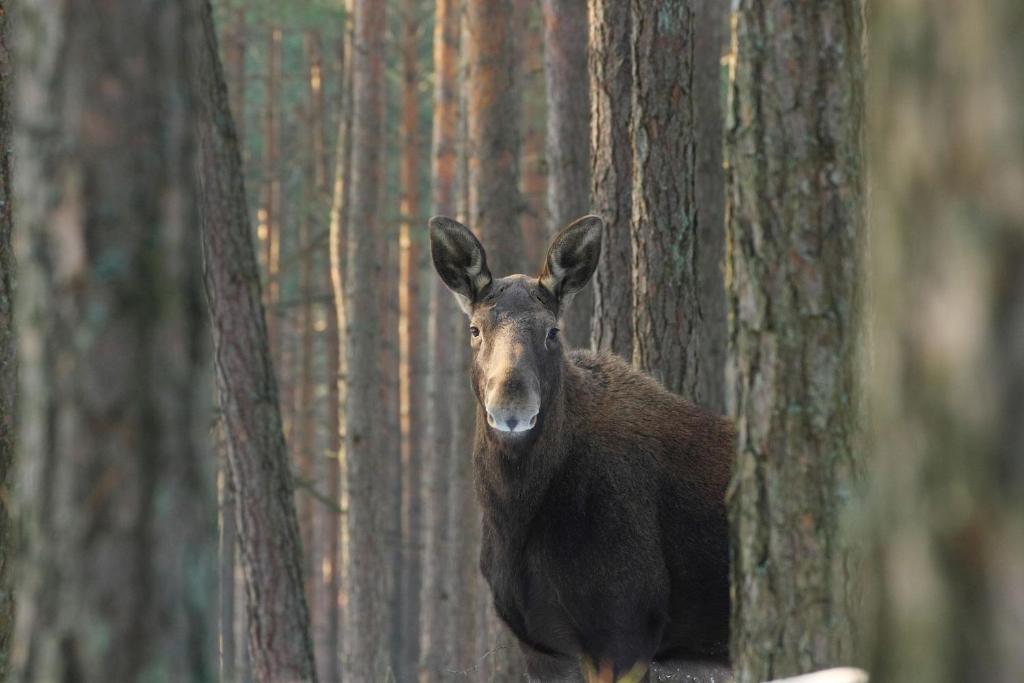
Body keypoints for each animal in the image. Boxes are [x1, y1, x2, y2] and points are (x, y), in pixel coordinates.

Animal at [428, 215, 733, 683]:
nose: (511, 405)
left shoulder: (625, 629)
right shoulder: (542, 646)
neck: (514, 517)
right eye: (475, 329)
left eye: (553, 330)